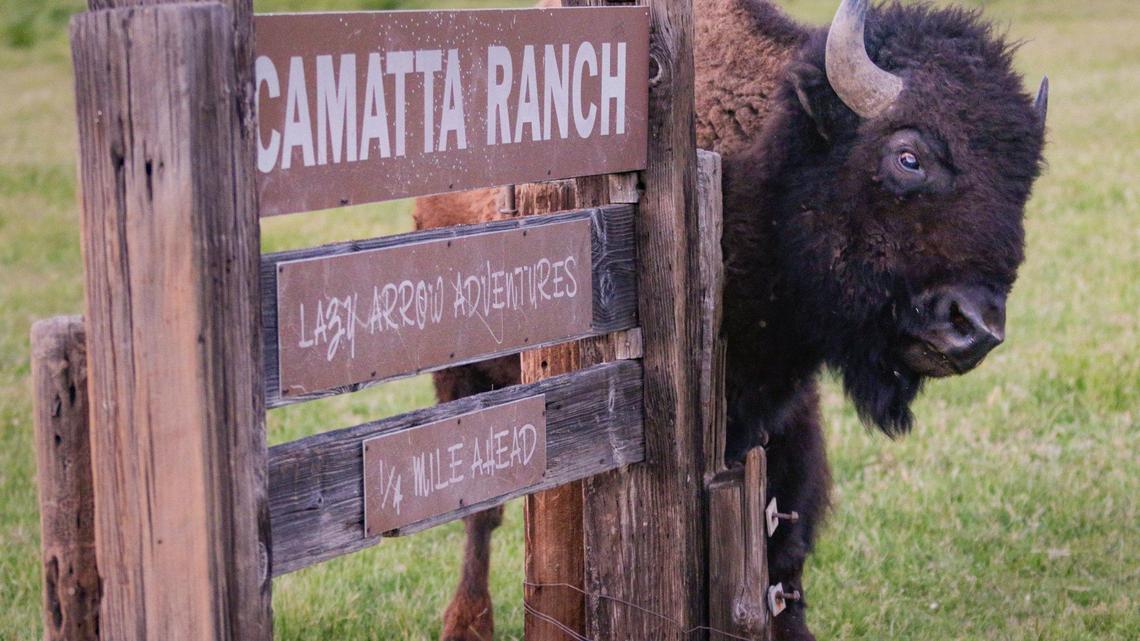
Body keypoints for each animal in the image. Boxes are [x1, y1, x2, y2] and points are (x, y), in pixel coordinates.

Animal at [413, 1, 1049, 640]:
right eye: (908, 157)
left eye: (1024, 180)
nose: (973, 327)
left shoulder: (783, 420)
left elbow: (784, 552)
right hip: (467, 382)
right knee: (482, 514)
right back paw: (466, 621)